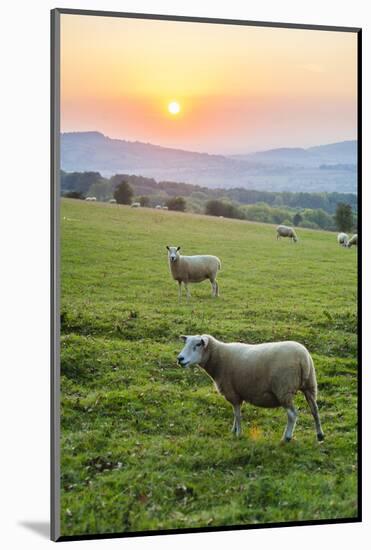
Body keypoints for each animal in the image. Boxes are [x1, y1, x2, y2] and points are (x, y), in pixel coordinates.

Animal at [177, 334, 326, 446]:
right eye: (186, 343)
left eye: (197, 345)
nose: (180, 359)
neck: (219, 358)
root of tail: (303, 359)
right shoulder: (237, 394)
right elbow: (235, 414)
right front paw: (234, 430)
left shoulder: (232, 392)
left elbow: (237, 415)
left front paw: (238, 434)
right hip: (310, 386)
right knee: (315, 410)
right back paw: (320, 435)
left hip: (283, 389)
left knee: (292, 414)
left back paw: (286, 438)